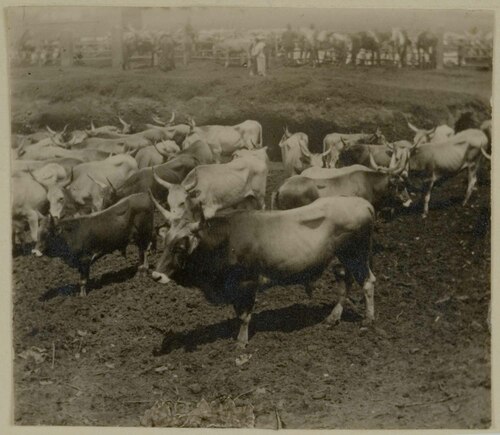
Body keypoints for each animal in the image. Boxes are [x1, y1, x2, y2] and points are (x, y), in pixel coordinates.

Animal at [150, 197, 376, 348]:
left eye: (180, 247)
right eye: (165, 242)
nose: (156, 276)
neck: (225, 241)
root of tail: (364, 203)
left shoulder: (247, 283)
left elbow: (244, 316)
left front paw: (241, 342)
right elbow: (238, 313)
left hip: (356, 255)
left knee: (367, 282)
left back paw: (368, 320)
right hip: (344, 258)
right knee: (344, 281)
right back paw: (332, 317)